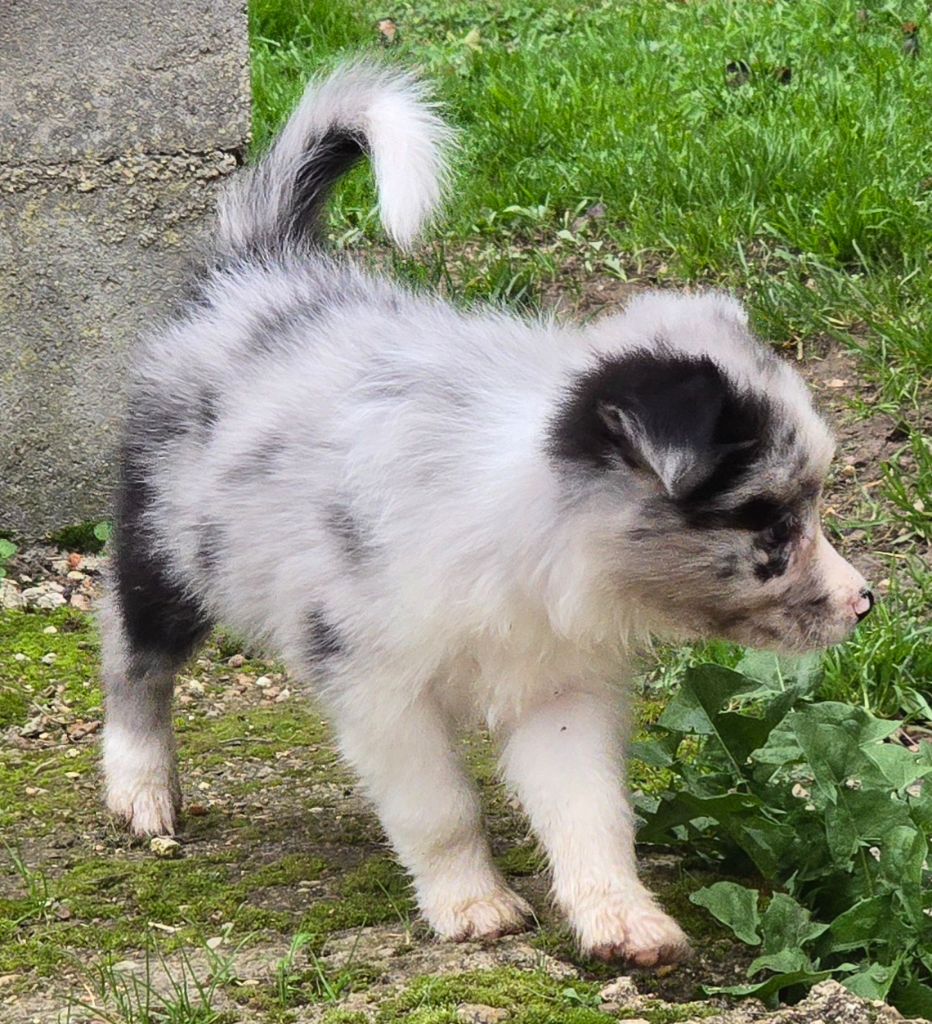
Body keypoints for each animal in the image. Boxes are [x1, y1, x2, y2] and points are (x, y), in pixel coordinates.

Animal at [100, 61, 873, 967]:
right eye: (772, 522)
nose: (867, 604)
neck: (526, 523)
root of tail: (258, 270)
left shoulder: (557, 686)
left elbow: (589, 811)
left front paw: (621, 918)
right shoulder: (378, 687)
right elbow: (440, 810)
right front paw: (473, 906)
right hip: (165, 544)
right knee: (132, 654)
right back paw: (142, 789)